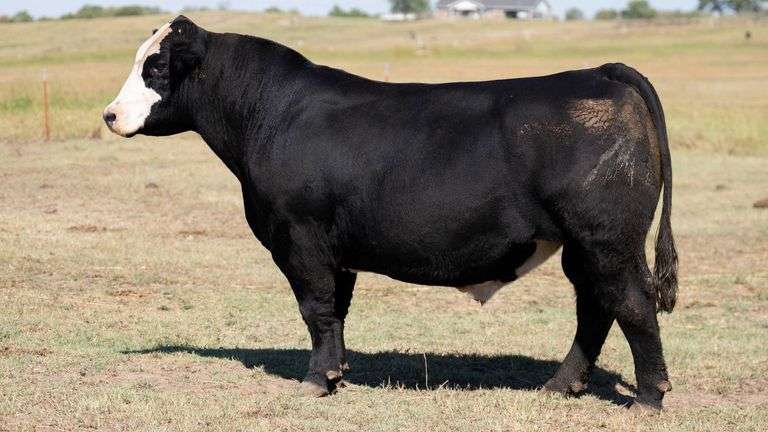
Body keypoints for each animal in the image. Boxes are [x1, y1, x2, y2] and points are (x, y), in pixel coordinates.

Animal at [104, 16, 678, 411]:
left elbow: (315, 308)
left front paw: (315, 382)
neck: (270, 115)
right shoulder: (335, 250)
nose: (109, 115)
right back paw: (560, 386)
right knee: (595, 308)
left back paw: (648, 398)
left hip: (608, 239)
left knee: (631, 303)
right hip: (584, 246)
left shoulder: (298, 236)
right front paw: (336, 374)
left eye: (156, 67)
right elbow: (335, 310)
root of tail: (598, 72)